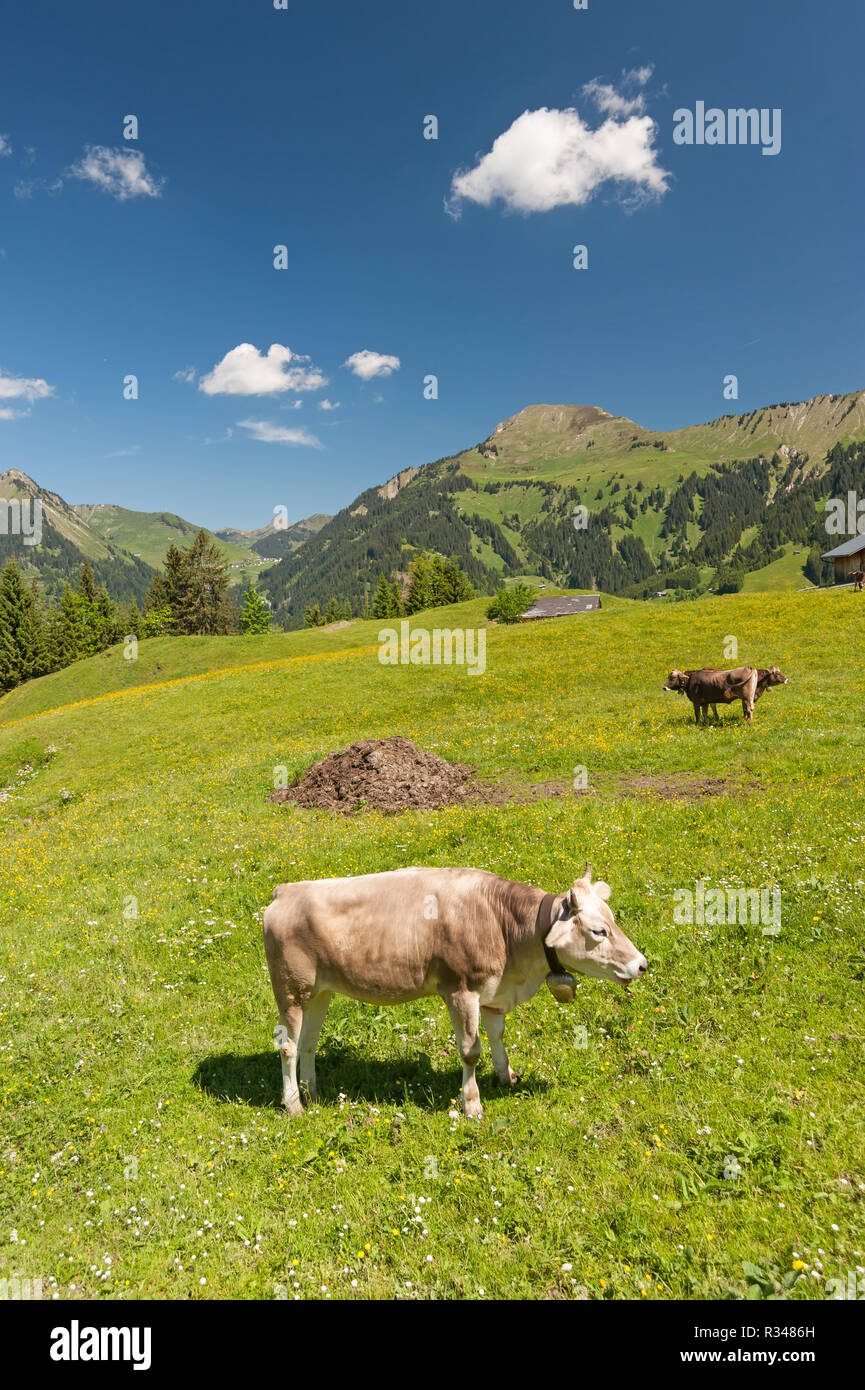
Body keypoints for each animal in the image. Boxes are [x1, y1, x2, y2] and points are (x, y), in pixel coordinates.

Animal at [261, 867, 648, 1117]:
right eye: (598, 930)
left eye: (613, 920)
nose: (642, 964)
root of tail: (287, 890)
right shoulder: (460, 990)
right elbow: (470, 1050)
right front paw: (472, 1104)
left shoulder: (494, 993)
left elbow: (497, 1036)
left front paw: (506, 1076)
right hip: (290, 990)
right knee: (288, 1046)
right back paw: (293, 1105)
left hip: (319, 991)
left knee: (308, 1043)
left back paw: (312, 1094)